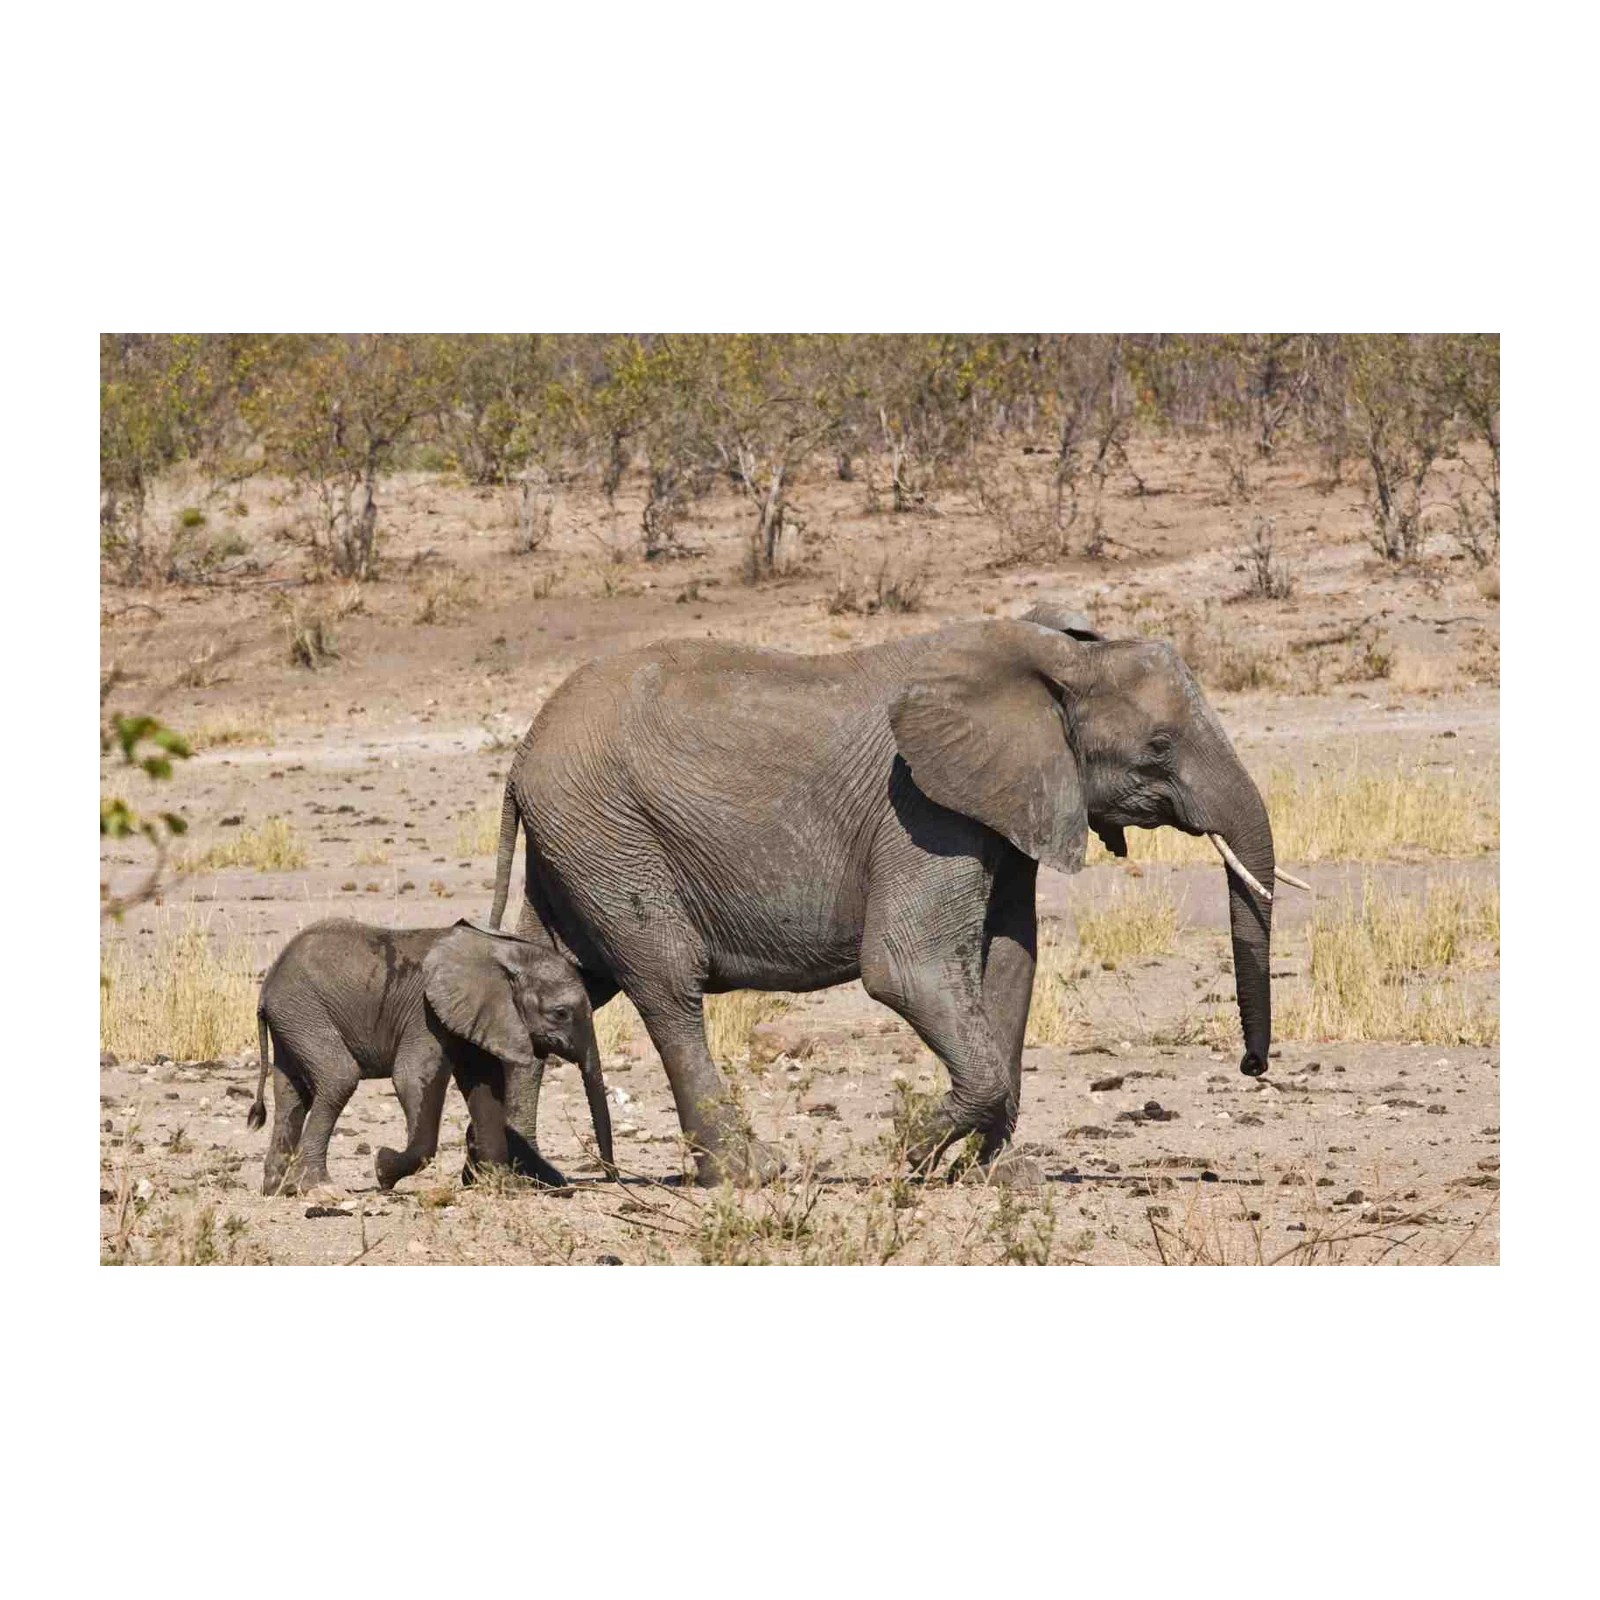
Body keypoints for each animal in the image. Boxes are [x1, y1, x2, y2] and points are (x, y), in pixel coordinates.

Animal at [247, 918, 614, 1198]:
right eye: (560, 1013)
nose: (612, 1178)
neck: (499, 950)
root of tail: (267, 986)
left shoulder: (474, 1015)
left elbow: (486, 1088)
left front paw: (501, 1187)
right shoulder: (424, 1014)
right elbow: (412, 1078)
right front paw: (383, 1168)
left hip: (293, 1019)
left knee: (291, 1094)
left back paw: (278, 1189)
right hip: (305, 1011)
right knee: (339, 1078)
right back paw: (320, 1189)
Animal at [487, 604, 1290, 1189]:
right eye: (1159, 747)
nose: (1253, 1068)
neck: (1056, 659)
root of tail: (521, 758)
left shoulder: (1001, 806)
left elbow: (1009, 967)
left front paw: (991, 1176)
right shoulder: (922, 810)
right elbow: (908, 970)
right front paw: (906, 1157)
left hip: (579, 842)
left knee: (559, 979)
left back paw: (519, 1174)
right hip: (609, 830)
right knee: (667, 985)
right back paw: (749, 1174)